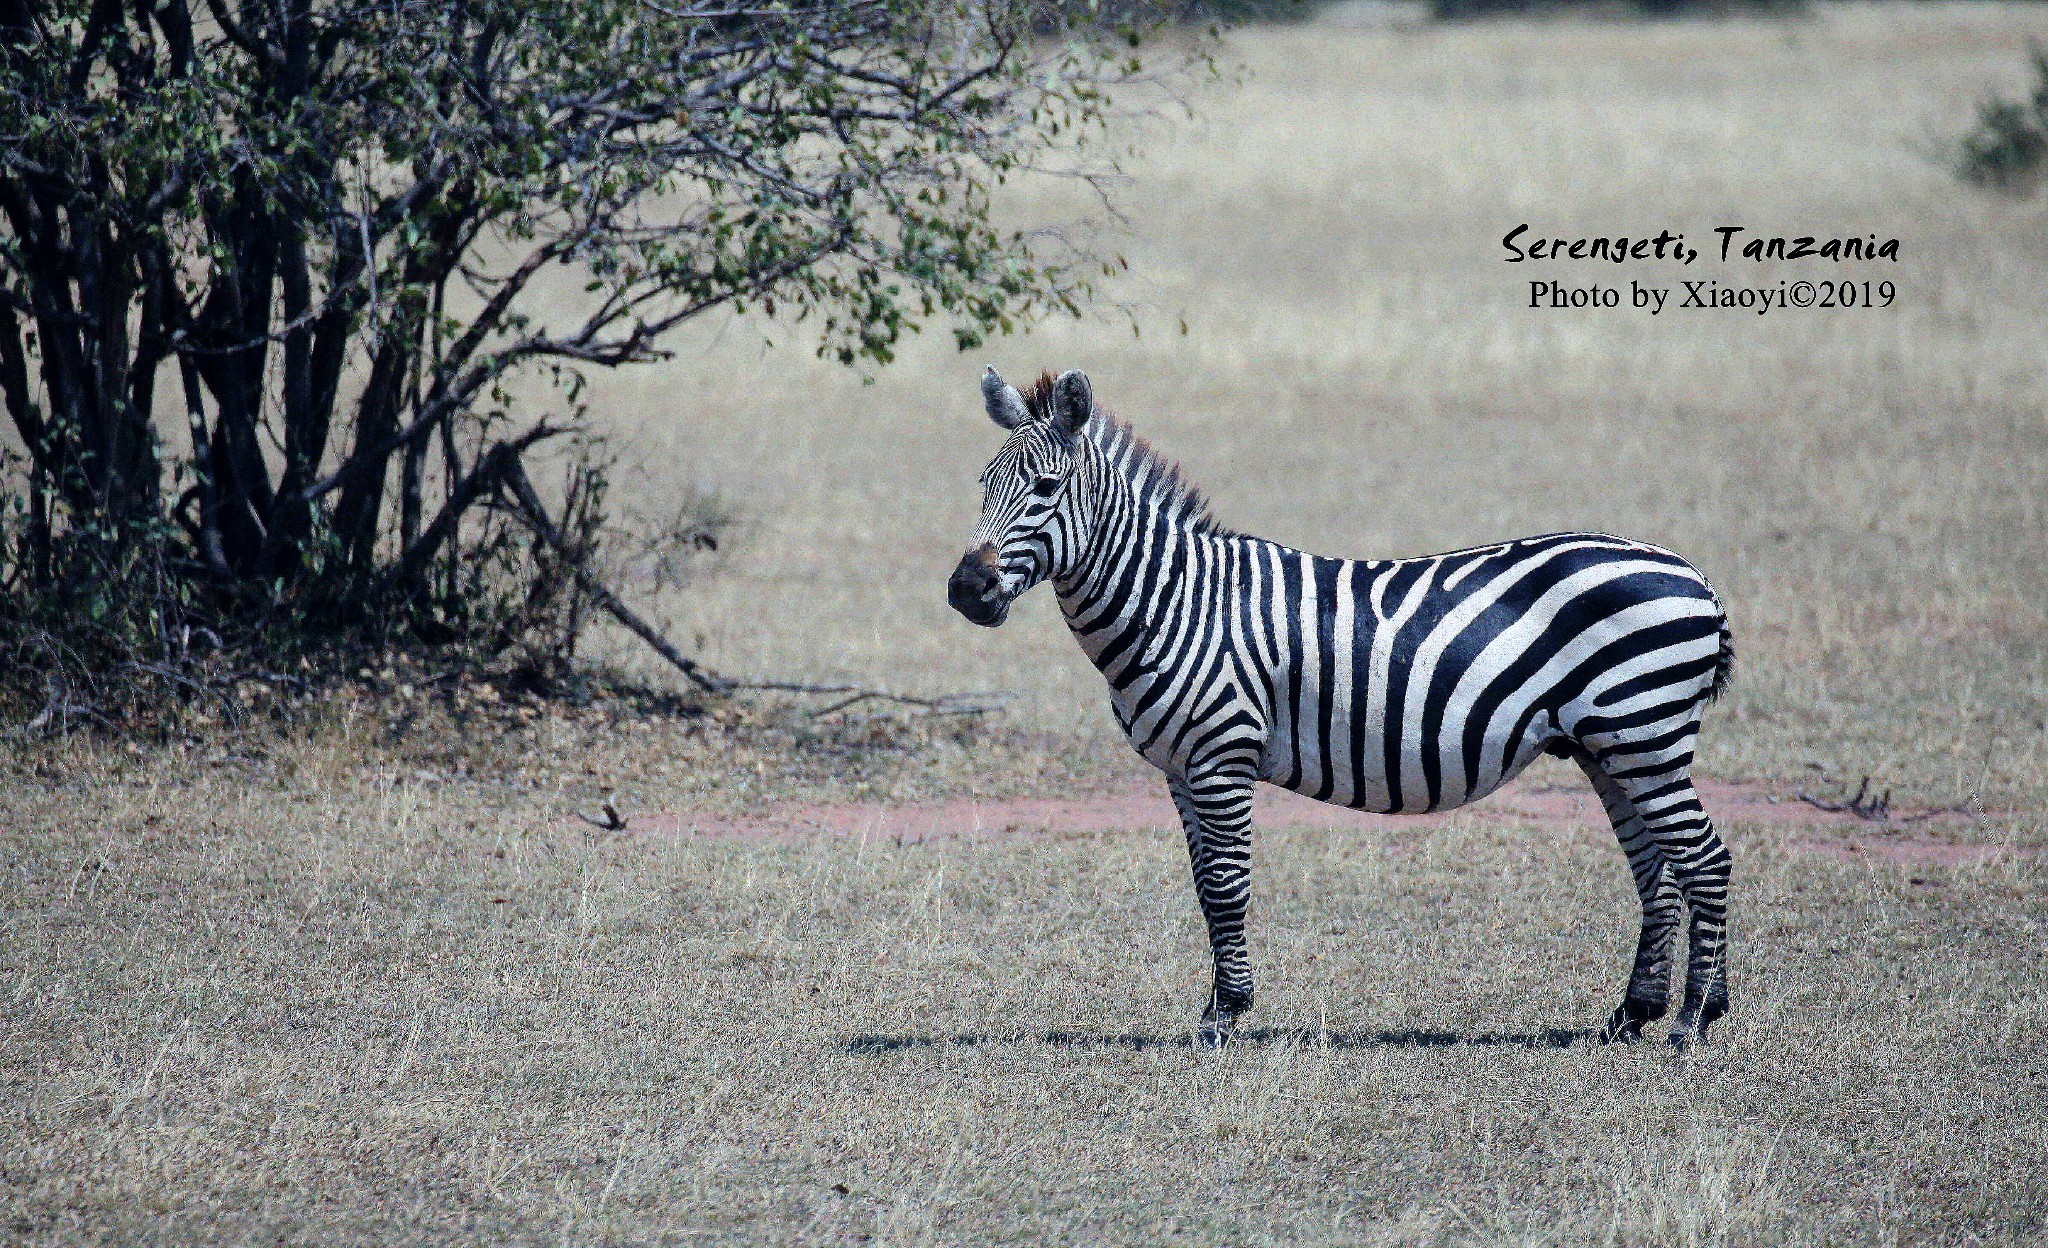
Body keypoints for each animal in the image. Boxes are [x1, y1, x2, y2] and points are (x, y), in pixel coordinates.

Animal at [950, 364, 1736, 1045]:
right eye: (982, 484)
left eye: (1046, 486)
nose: (965, 591)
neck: (1174, 602)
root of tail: (1695, 576)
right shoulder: (1179, 768)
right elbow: (1204, 886)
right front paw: (1216, 1006)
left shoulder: (1222, 755)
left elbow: (1227, 885)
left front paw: (1225, 1016)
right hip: (1610, 745)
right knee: (1657, 867)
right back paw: (1633, 1014)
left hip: (1643, 732)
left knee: (1704, 858)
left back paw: (1696, 1019)